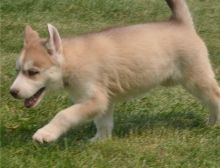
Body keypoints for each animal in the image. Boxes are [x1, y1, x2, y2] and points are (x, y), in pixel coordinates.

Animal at [9, 0, 220, 143]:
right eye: (18, 70)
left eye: (33, 72)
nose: (12, 92)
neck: (71, 61)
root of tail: (179, 22)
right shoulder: (104, 100)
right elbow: (103, 122)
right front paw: (99, 141)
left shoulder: (95, 99)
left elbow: (64, 114)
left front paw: (46, 133)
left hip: (196, 79)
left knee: (215, 96)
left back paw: (214, 123)